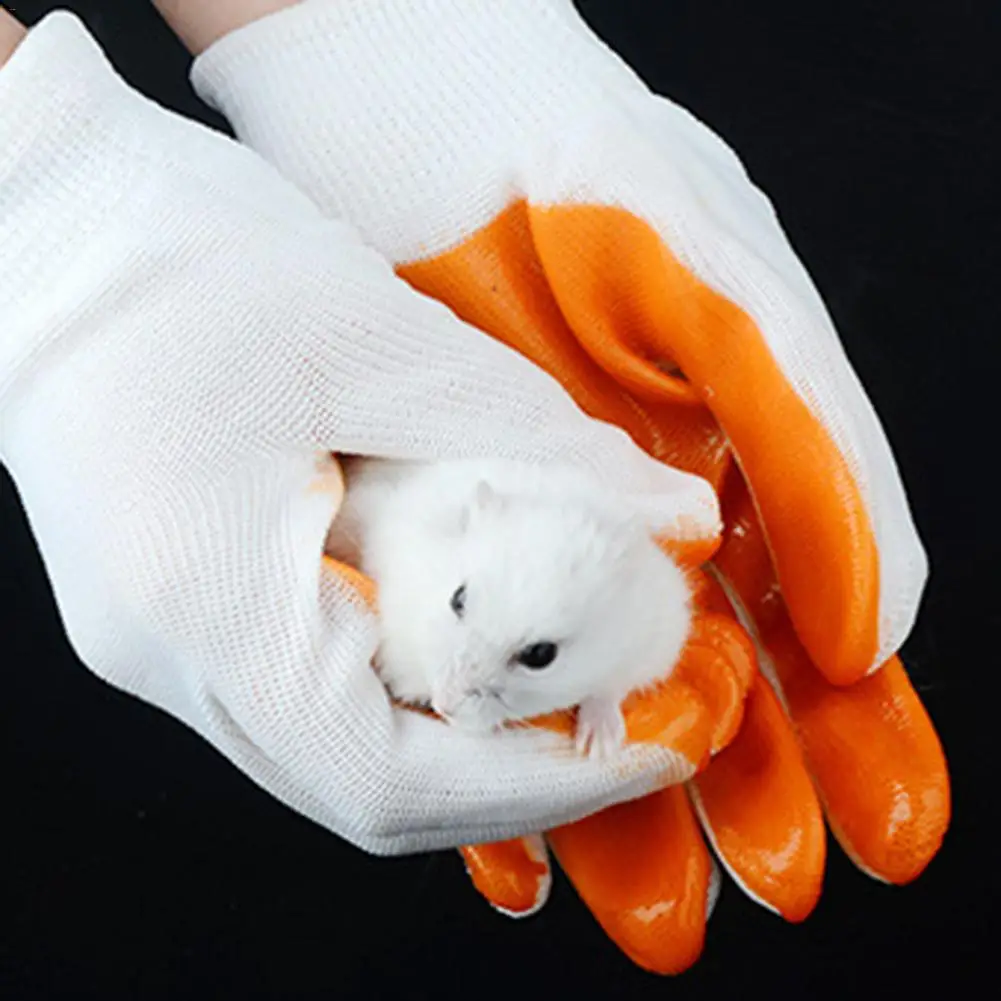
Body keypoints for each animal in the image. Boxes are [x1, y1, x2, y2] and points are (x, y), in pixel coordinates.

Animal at [324, 456, 693, 759]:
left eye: (541, 655)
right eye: (458, 599)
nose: (442, 706)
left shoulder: (653, 641)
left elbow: (608, 689)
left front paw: (598, 750)